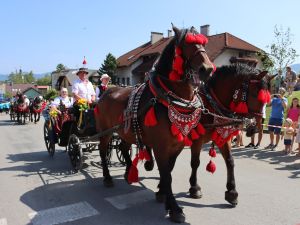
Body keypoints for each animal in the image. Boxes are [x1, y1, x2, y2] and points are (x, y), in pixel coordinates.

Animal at [95, 25, 214, 223]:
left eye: (203, 44)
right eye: (186, 45)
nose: (208, 69)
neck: (167, 99)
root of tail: (107, 91)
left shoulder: (177, 145)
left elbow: (169, 172)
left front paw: (162, 194)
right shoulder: (160, 147)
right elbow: (166, 175)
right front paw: (174, 208)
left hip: (125, 131)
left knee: (123, 147)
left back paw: (129, 172)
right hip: (105, 131)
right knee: (103, 150)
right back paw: (107, 177)